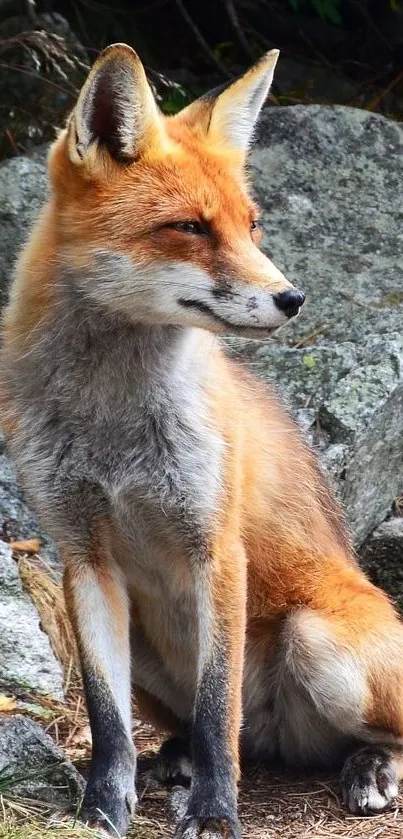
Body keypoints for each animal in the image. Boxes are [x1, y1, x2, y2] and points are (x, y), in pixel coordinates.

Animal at [0, 44, 403, 839]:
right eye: (190, 227)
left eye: (253, 226)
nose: (292, 299)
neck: (113, 426)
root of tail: (277, 738)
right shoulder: (81, 554)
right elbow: (108, 720)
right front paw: (103, 807)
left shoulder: (214, 546)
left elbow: (219, 709)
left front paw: (216, 814)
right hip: (149, 652)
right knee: (199, 727)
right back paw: (176, 760)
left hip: (320, 643)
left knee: (344, 732)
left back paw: (368, 768)